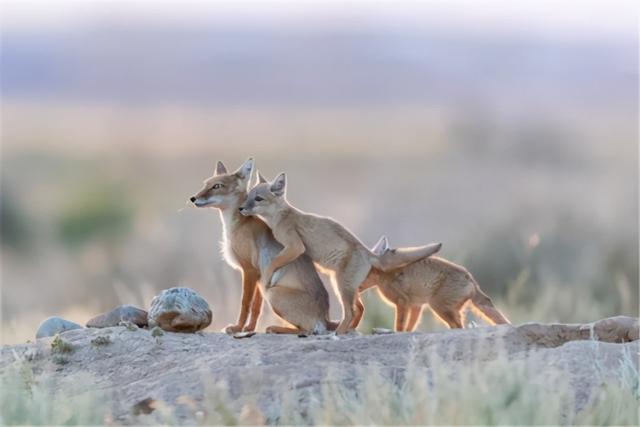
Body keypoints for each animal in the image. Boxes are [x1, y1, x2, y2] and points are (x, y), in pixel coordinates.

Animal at [190, 159, 338, 336]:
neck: (238, 225)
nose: (193, 198)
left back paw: (275, 328)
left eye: (217, 186)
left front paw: (237, 328)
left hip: (273, 294)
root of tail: (325, 318)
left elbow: (245, 304)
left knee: (306, 330)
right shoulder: (259, 277)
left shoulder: (249, 271)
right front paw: (249, 329)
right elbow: (256, 308)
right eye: (206, 184)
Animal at [238, 172, 442, 336]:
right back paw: (348, 329)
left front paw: (267, 277)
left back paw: (339, 332)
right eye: (248, 196)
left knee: (347, 314)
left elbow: (274, 263)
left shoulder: (295, 246)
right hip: (348, 288)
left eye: (258, 199)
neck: (282, 216)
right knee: (359, 309)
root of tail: (367, 252)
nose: (241, 208)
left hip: (340, 286)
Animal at [356, 237, 510, 332]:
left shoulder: (402, 302)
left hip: (439, 307)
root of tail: (470, 279)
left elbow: (399, 326)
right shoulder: (416, 305)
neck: (384, 274)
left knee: (459, 327)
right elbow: (410, 328)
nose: (354, 290)